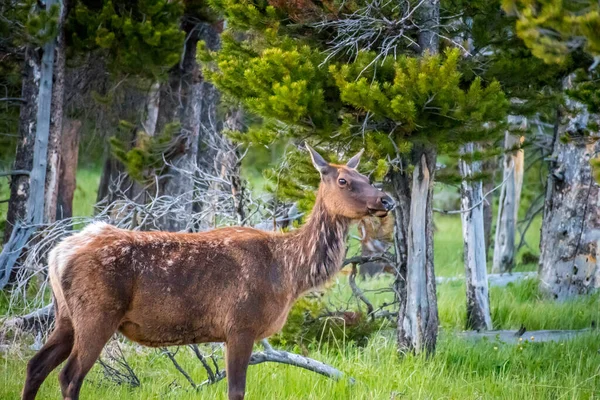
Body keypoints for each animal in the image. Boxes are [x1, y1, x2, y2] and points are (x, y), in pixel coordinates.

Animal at [23, 145, 396, 400]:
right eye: (344, 180)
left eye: (367, 178)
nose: (387, 200)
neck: (289, 273)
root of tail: (58, 252)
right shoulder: (241, 325)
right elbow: (236, 391)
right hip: (97, 314)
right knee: (70, 376)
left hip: (65, 315)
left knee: (36, 365)